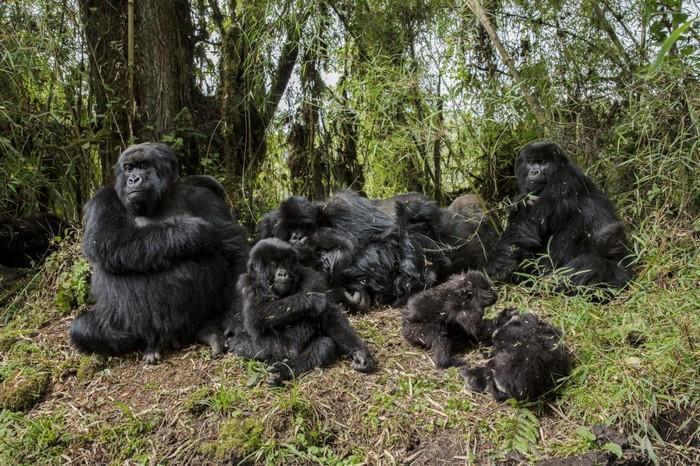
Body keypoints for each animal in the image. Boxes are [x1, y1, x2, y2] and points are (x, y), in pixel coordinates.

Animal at [70, 144, 249, 362]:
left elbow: (233, 247)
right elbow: (107, 238)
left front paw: (235, 318)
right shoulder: (103, 198)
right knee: (82, 329)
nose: (133, 179)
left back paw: (208, 331)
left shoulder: (203, 197)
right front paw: (192, 233)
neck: (160, 200)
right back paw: (152, 344)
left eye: (143, 165)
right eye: (128, 168)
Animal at [228, 238, 378, 384]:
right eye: (273, 264)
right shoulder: (247, 283)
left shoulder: (311, 277)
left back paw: (286, 370)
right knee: (239, 343)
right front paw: (309, 300)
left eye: (286, 262)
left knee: (324, 345)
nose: (283, 273)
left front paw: (360, 353)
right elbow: (254, 315)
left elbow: (330, 316)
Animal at [484, 140, 632, 290]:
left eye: (543, 162)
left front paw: (495, 264)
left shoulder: (564, 179)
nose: (534, 171)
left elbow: (529, 222)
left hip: (615, 273)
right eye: (531, 162)